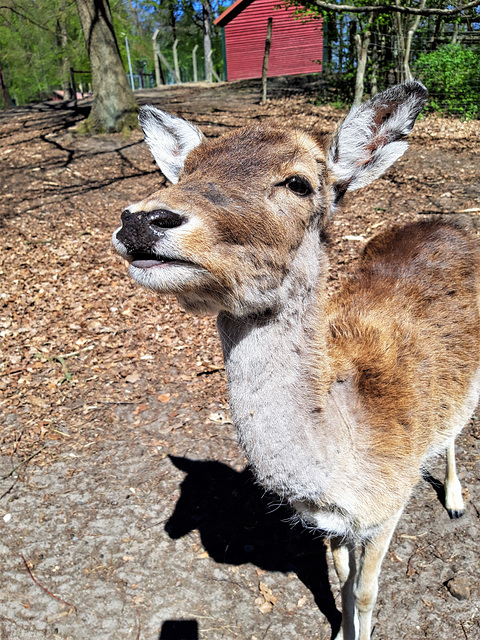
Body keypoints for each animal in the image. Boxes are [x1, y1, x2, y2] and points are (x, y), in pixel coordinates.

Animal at [113, 81, 480, 640]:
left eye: (299, 183)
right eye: (186, 170)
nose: (141, 220)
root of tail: (447, 224)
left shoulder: (389, 507)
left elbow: (367, 591)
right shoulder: (333, 526)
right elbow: (343, 577)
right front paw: (338, 630)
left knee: (457, 430)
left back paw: (456, 501)